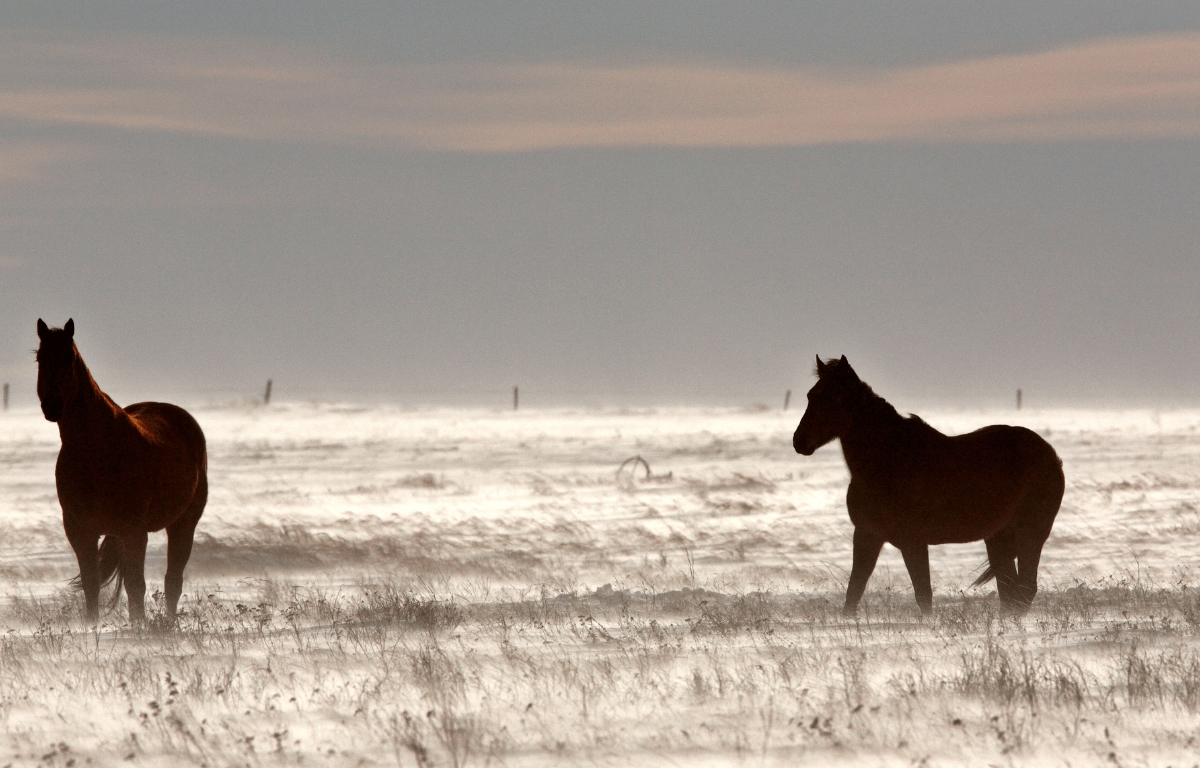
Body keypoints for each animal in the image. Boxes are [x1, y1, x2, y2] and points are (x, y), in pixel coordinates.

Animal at [36, 319, 208, 625]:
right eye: (40, 358)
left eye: (68, 358)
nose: (52, 406)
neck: (97, 451)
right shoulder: (79, 530)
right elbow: (92, 584)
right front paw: (92, 626)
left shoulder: (134, 531)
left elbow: (136, 586)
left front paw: (138, 627)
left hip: (183, 523)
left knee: (172, 580)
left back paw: (169, 623)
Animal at [792, 356, 1063, 616]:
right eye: (810, 395)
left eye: (834, 397)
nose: (799, 441)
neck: (888, 461)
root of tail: (1051, 455)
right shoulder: (867, 535)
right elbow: (853, 593)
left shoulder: (913, 541)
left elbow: (923, 595)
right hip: (999, 537)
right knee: (1010, 592)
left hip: (1031, 533)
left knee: (1025, 589)